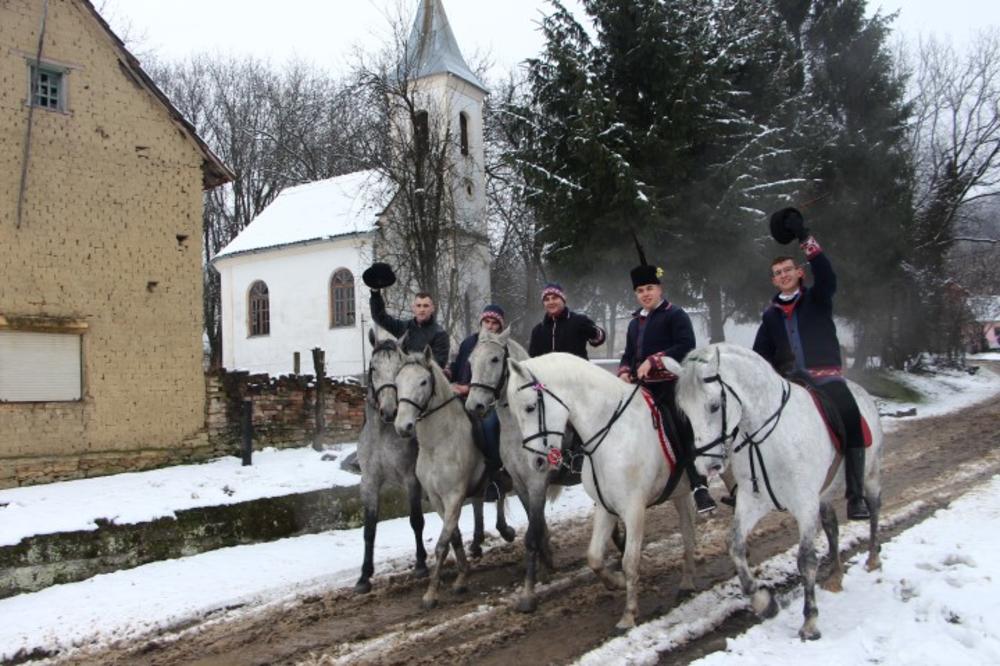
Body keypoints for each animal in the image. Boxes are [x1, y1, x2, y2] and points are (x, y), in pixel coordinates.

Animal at [508, 350, 696, 632]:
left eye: (530, 407)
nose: (537, 463)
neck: (613, 432)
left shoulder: (634, 509)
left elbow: (630, 561)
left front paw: (628, 615)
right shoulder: (606, 507)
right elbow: (594, 557)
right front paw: (615, 582)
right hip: (681, 492)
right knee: (688, 531)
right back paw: (687, 583)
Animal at [664, 342, 884, 640]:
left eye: (714, 406)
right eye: (684, 412)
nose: (705, 465)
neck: (764, 436)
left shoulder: (804, 504)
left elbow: (806, 560)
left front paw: (810, 622)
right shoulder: (753, 501)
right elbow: (735, 546)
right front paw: (763, 602)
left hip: (869, 477)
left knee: (874, 508)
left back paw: (873, 558)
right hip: (823, 496)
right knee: (832, 526)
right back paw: (836, 576)